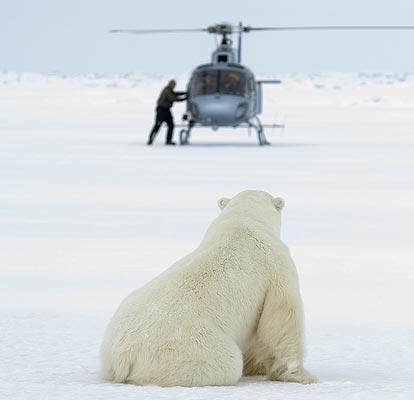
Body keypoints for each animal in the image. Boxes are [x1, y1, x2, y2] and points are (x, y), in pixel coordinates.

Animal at [101, 191, 316, 388]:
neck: (244, 219)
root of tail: (122, 355)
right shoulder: (276, 263)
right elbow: (283, 316)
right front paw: (301, 376)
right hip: (191, 345)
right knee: (226, 362)